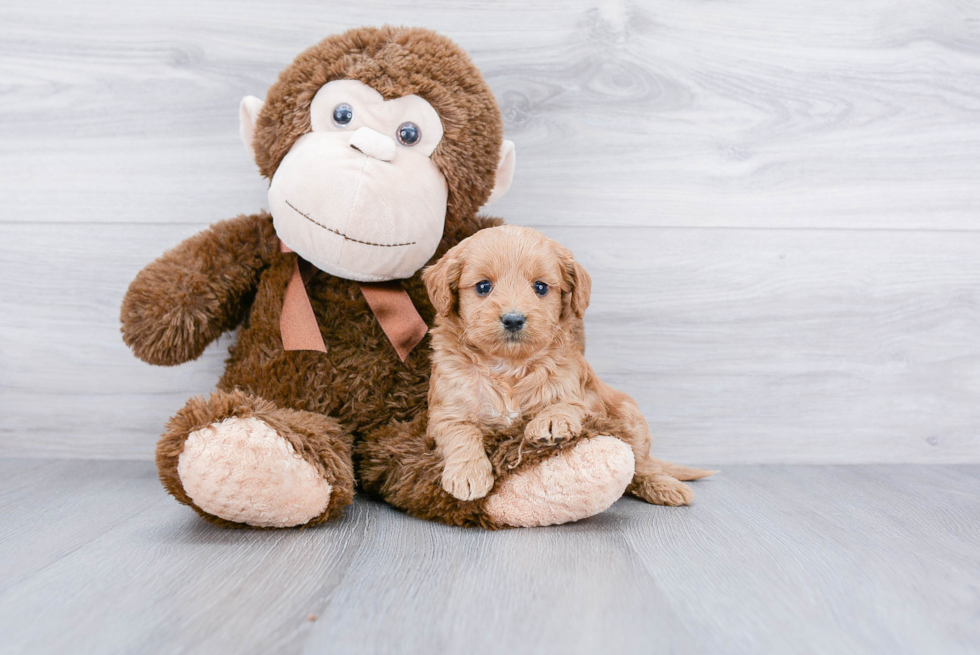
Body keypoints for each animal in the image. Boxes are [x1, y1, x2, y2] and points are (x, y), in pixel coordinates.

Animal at [424, 226, 712, 508]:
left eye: (541, 287)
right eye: (483, 286)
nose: (513, 319)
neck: (509, 365)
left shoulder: (579, 392)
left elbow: (568, 403)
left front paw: (551, 421)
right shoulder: (447, 408)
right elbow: (461, 432)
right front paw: (467, 473)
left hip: (630, 416)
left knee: (641, 463)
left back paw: (665, 486)